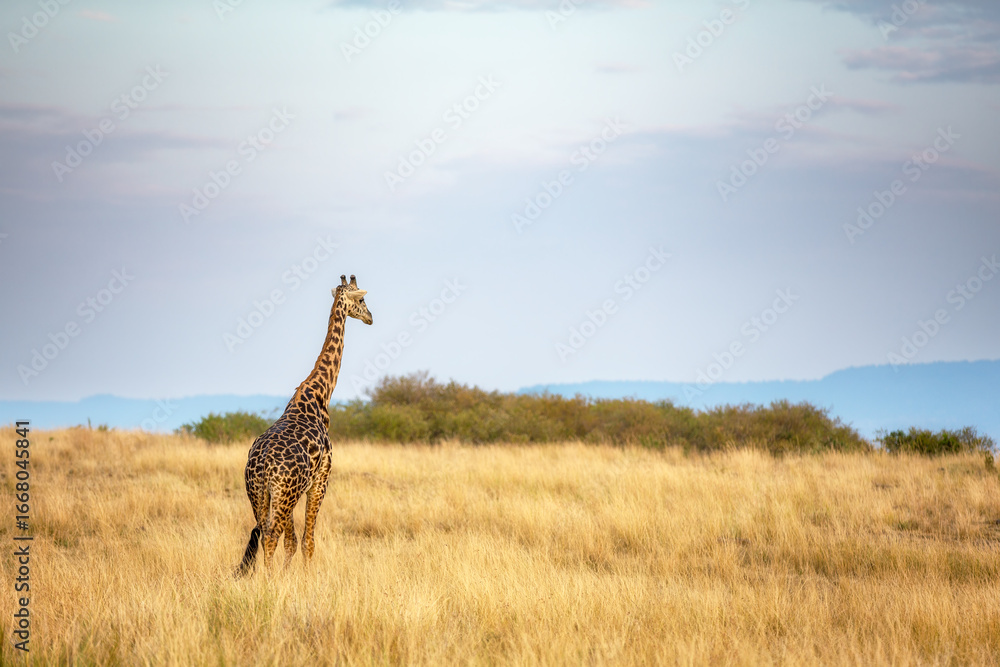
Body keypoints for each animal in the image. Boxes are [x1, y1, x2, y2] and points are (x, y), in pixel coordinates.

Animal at [237, 274, 372, 576]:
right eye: (361, 299)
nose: (371, 317)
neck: (318, 396)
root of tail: (262, 465)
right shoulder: (321, 480)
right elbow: (308, 541)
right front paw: (306, 577)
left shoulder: (300, 488)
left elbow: (294, 541)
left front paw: (289, 575)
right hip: (284, 494)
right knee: (271, 534)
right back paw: (269, 580)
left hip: (259, 493)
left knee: (262, 532)